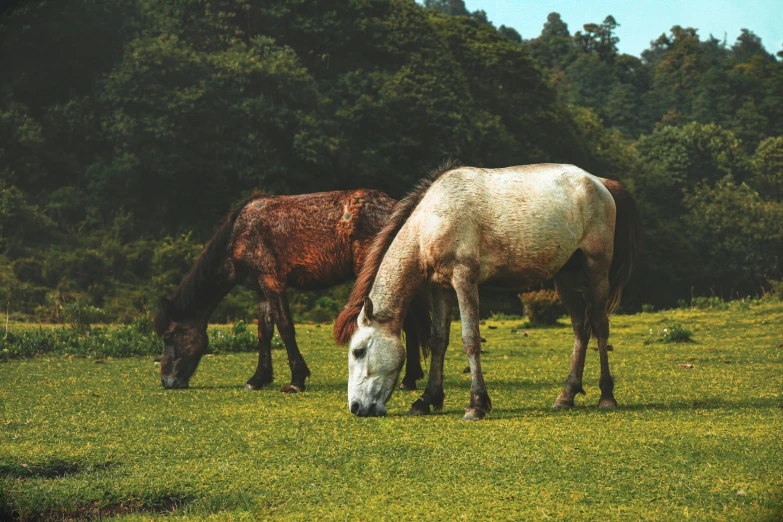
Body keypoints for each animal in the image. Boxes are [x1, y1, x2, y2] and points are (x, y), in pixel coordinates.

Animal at [152, 189, 428, 388]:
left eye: (168, 337)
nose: (167, 381)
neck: (239, 234)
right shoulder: (261, 291)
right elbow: (264, 332)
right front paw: (258, 379)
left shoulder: (272, 283)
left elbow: (285, 328)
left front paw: (297, 378)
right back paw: (410, 377)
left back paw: (408, 379)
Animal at [336, 162, 644, 418]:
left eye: (358, 351)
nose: (356, 408)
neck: (432, 219)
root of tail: (600, 183)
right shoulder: (441, 287)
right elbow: (439, 341)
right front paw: (425, 400)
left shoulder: (464, 280)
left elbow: (470, 339)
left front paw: (475, 404)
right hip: (565, 276)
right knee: (581, 329)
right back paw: (566, 396)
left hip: (596, 269)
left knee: (600, 327)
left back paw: (606, 396)